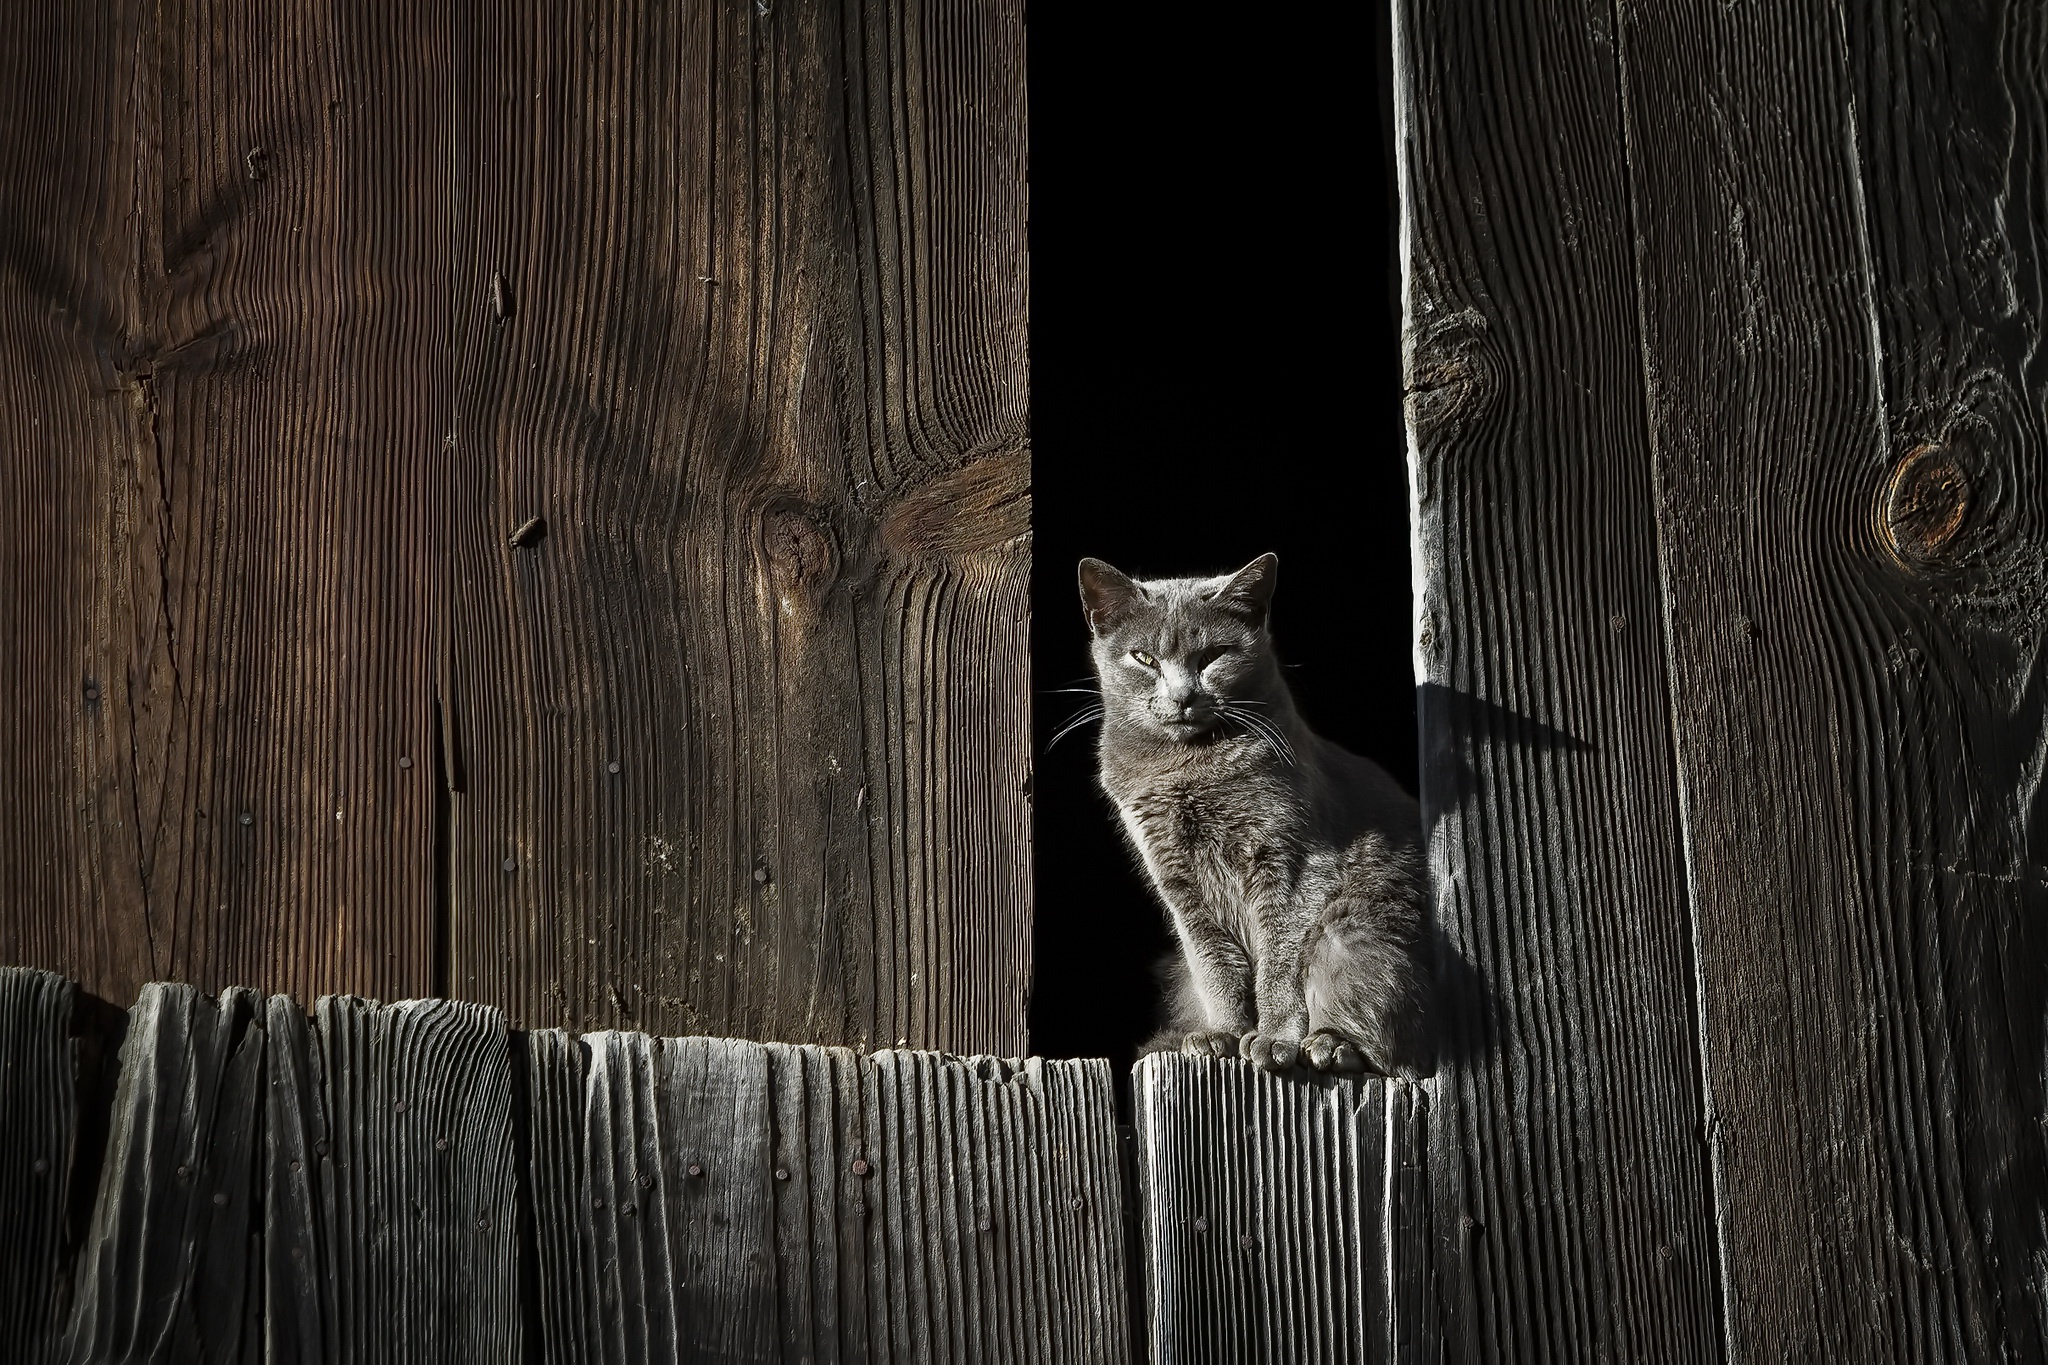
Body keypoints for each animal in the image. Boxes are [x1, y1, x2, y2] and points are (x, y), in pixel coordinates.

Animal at [1081, 556, 1433, 1080]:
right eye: (1143, 658)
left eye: (1214, 656)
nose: (1183, 696)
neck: (1188, 767)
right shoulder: (1179, 883)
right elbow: (1213, 963)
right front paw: (1222, 1035)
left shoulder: (1292, 863)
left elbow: (1278, 961)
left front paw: (1274, 1039)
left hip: (1357, 930)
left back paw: (1329, 1044)